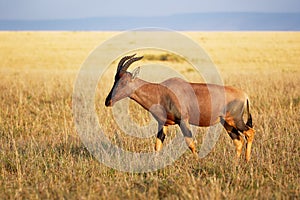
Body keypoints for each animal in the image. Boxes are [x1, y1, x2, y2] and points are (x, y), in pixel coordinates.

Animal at [105, 54, 255, 161]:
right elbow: (157, 145)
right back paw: (236, 164)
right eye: (115, 79)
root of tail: (244, 95)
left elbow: (190, 143)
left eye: (124, 81)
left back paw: (247, 161)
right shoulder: (163, 123)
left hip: (236, 120)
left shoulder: (183, 121)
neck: (162, 91)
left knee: (250, 132)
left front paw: (198, 162)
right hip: (227, 123)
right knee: (238, 141)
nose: (108, 101)